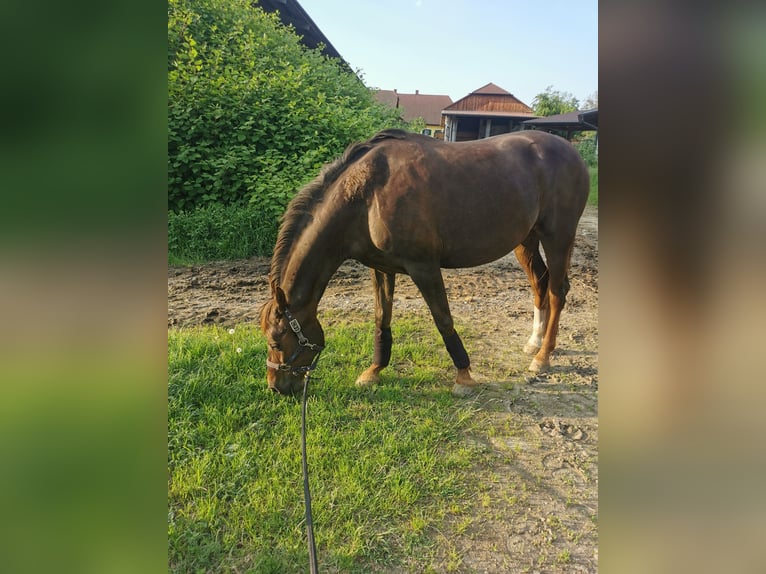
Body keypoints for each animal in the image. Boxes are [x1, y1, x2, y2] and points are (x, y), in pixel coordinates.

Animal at [259, 128, 589, 396]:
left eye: (276, 342)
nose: (276, 387)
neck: (368, 194)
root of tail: (573, 152)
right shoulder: (381, 268)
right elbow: (382, 318)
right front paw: (374, 371)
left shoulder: (424, 267)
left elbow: (443, 319)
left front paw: (464, 377)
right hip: (526, 240)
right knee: (540, 284)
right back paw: (534, 342)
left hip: (558, 237)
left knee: (557, 292)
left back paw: (542, 357)